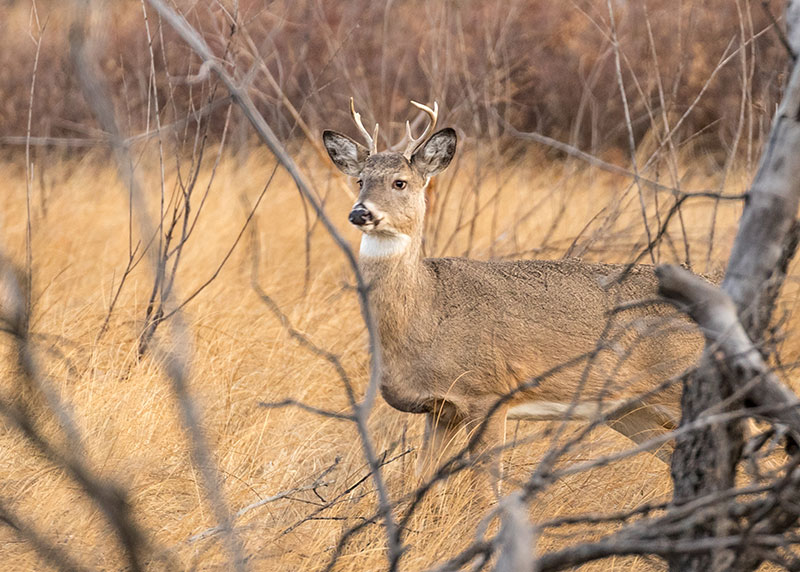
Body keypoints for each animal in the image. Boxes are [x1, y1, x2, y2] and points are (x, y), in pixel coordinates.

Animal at [322, 98, 704, 492]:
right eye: (360, 180)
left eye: (400, 182)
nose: (361, 212)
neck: (428, 310)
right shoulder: (440, 409)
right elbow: (420, 479)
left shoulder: (489, 394)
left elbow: (485, 488)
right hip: (630, 409)